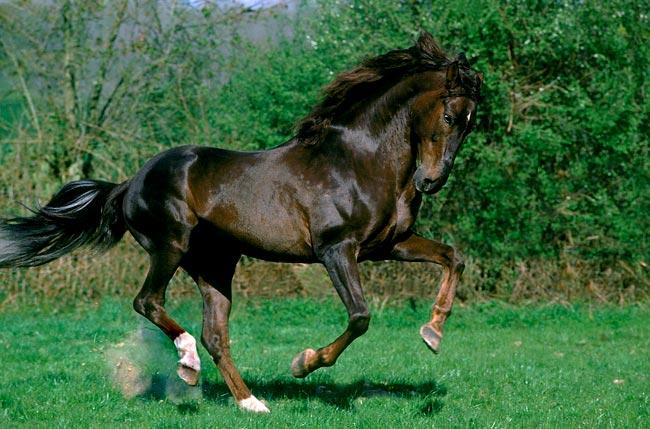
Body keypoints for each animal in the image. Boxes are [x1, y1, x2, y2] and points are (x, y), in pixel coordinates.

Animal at [0, 31, 483, 413]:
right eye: (448, 116)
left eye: (471, 123)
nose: (430, 181)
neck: (358, 161)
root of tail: (130, 182)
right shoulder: (336, 250)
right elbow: (360, 316)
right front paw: (303, 363)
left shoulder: (389, 245)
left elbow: (453, 258)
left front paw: (432, 333)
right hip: (170, 246)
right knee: (149, 302)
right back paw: (188, 363)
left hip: (214, 265)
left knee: (215, 334)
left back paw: (251, 402)